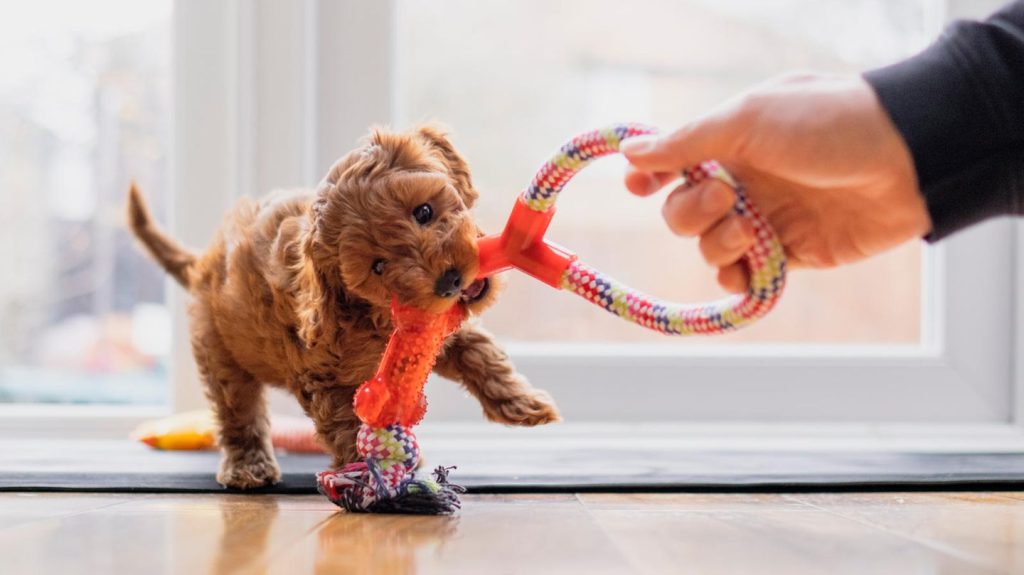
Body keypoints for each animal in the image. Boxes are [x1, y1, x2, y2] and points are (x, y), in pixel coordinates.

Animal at [130, 125, 561, 487]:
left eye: (423, 211)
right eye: (379, 266)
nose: (449, 280)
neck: (375, 312)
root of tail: (204, 263)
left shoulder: (441, 329)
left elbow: (481, 354)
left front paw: (522, 403)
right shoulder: (325, 378)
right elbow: (347, 424)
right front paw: (374, 476)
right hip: (220, 349)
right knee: (238, 412)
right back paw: (247, 466)